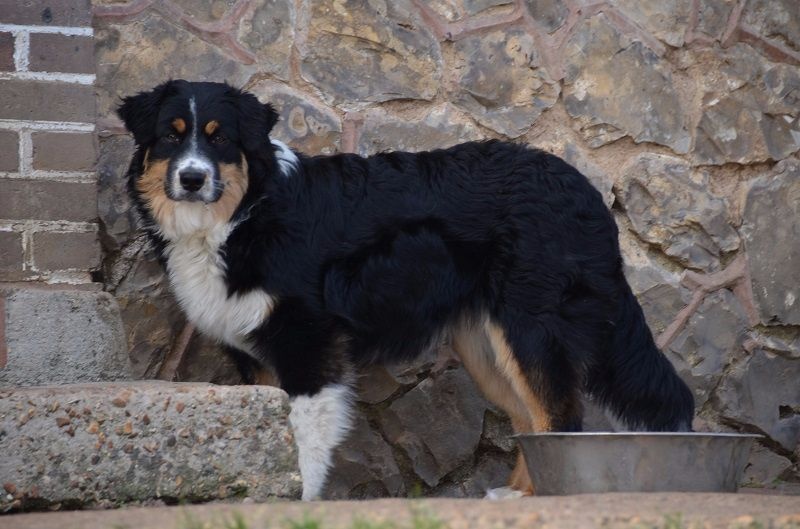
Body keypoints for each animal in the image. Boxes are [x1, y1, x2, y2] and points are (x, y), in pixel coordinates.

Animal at [117, 79, 692, 500]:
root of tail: (584, 186)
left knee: (561, 418)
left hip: (532, 330)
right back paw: (514, 498)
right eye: (171, 136)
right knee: (531, 418)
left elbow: (303, 438)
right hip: (487, 346)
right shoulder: (256, 352)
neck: (242, 216)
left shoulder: (308, 341)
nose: (192, 178)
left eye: (219, 138)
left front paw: (296, 501)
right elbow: (272, 434)